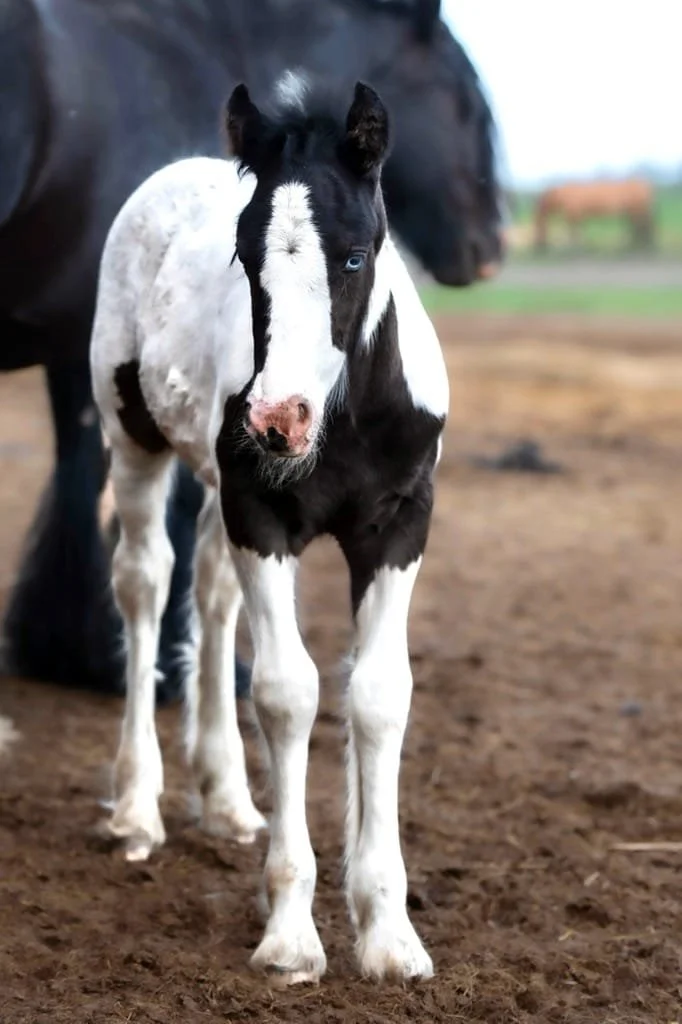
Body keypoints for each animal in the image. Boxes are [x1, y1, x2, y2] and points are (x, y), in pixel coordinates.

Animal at [90, 71, 447, 984]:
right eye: (246, 258)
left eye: (354, 255)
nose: (277, 420)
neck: (344, 421)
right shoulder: (264, 518)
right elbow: (289, 693)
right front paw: (291, 936)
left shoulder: (399, 528)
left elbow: (378, 695)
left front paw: (390, 935)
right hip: (135, 441)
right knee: (145, 584)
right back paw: (138, 809)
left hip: (223, 492)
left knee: (212, 597)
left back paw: (226, 801)